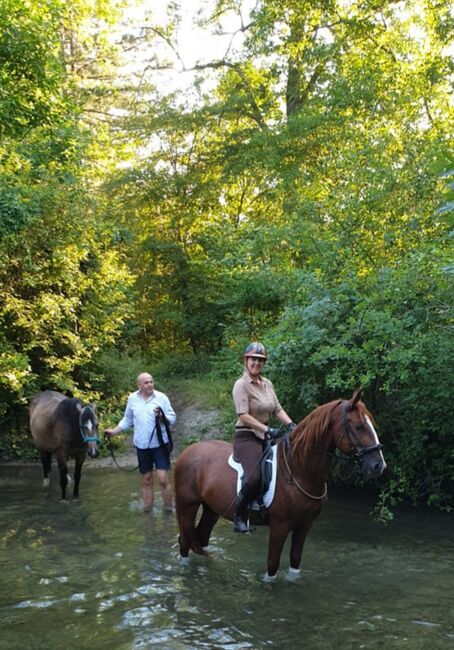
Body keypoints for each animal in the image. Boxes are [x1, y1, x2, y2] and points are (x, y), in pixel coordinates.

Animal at [175, 388, 386, 580]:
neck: (298, 470)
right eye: (359, 426)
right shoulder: (280, 526)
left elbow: (295, 561)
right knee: (185, 541)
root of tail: (188, 451)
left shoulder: (304, 525)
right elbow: (272, 564)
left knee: (200, 538)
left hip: (211, 509)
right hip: (188, 506)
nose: (379, 465)